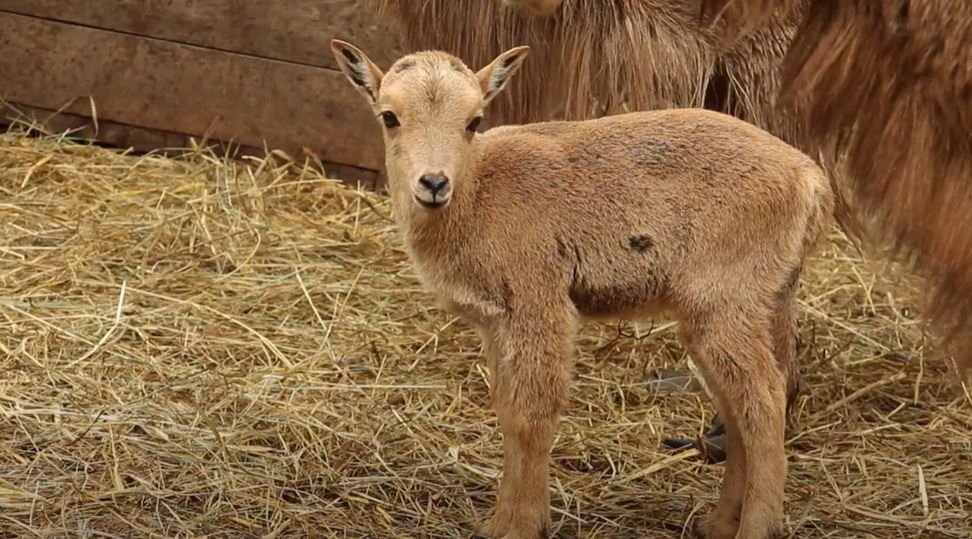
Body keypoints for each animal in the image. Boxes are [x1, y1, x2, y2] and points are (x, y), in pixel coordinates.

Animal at [332, 39, 836, 539]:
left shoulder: (539, 301)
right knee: (737, 404)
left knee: (765, 399)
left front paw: (523, 524)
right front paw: (497, 522)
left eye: (474, 121)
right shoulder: (497, 322)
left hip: (725, 298)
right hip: (727, 309)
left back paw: (756, 525)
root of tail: (810, 181)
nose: (434, 183)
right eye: (389, 116)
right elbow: (507, 410)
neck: (478, 195)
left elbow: (532, 415)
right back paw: (717, 523)